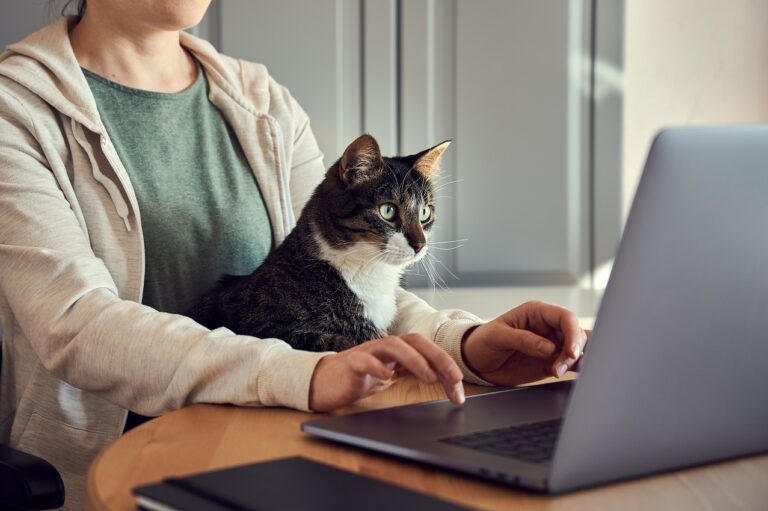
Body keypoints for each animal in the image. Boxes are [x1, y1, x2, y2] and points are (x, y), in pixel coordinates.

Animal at [187, 134, 450, 354]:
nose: (420, 244)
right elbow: (341, 341)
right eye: (388, 210)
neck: (366, 271)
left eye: (424, 213)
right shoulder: (266, 326)